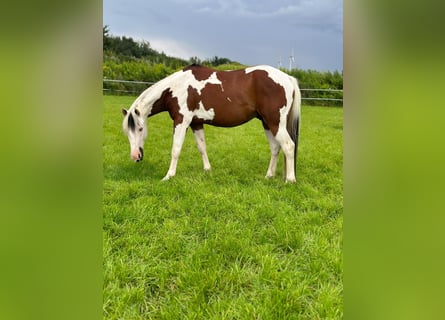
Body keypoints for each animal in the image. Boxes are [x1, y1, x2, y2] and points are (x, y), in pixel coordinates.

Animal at [121, 63, 302, 182]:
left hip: (275, 123)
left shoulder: (181, 121)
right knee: (276, 148)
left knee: (289, 146)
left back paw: (290, 180)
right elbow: (202, 147)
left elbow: (175, 149)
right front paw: (207, 170)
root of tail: (287, 78)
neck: (176, 88)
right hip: (267, 123)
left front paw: (168, 176)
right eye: (127, 132)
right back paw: (269, 176)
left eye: (140, 129)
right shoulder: (196, 123)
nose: (135, 156)